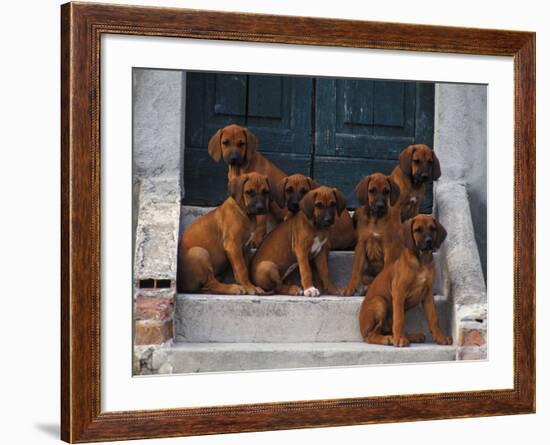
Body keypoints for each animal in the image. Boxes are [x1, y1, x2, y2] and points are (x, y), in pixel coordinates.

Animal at [362, 215, 452, 346]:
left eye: (433, 228)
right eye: (418, 230)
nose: (429, 241)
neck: (422, 261)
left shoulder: (428, 294)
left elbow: (434, 318)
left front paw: (441, 337)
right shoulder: (399, 291)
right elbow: (399, 319)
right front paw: (399, 339)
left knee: (387, 329)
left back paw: (411, 336)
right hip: (379, 302)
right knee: (371, 334)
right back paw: (388, 338)